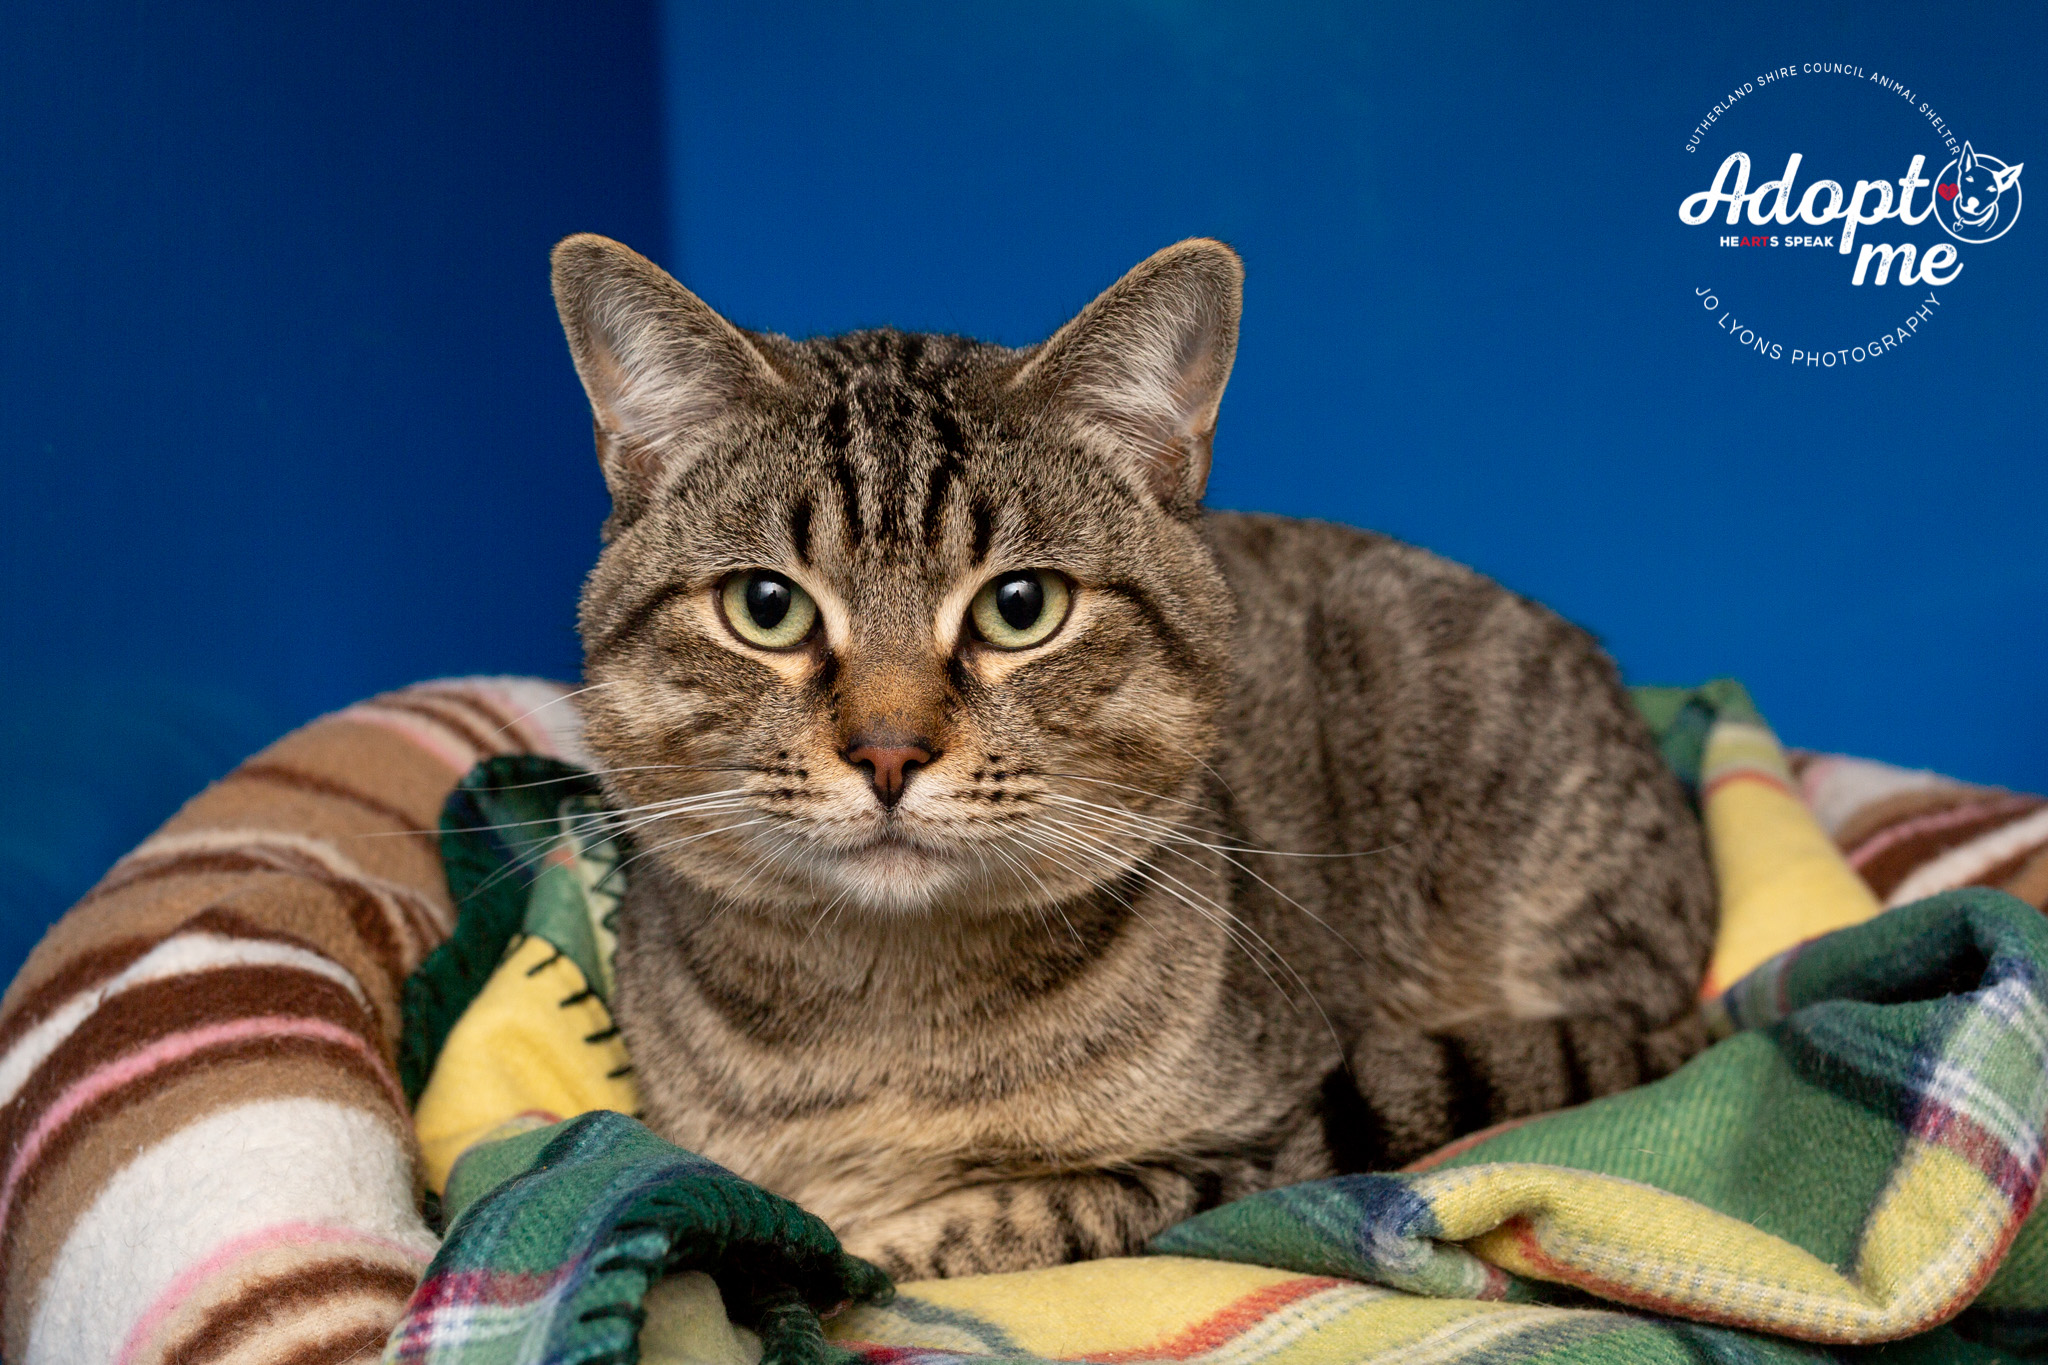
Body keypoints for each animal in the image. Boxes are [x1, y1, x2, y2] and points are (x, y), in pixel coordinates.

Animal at [550, 233, 1717, 1281]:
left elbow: (1005, 1220)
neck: (887, 1027)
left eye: (1021, 607)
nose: (887, 752)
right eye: (766, 606)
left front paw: (873, 1244)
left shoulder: (1260, 1153)